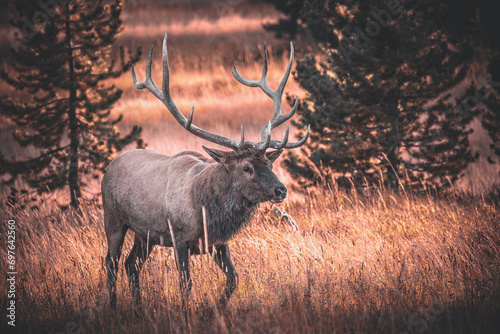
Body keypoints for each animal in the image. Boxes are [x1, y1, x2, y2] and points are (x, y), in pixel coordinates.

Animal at [102, 32, 308, 310]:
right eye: (247, 167)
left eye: (270, 163)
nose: (280, 190)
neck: (207, 215)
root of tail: (110, 165)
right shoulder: (178, 239)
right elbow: (185, 285)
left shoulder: (219, 243)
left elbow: (233, 279)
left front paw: (216, 310)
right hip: (113, 219)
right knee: (111, 263)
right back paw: (113, 307)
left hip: (144, 235)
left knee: (131, 265)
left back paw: (138, 307)